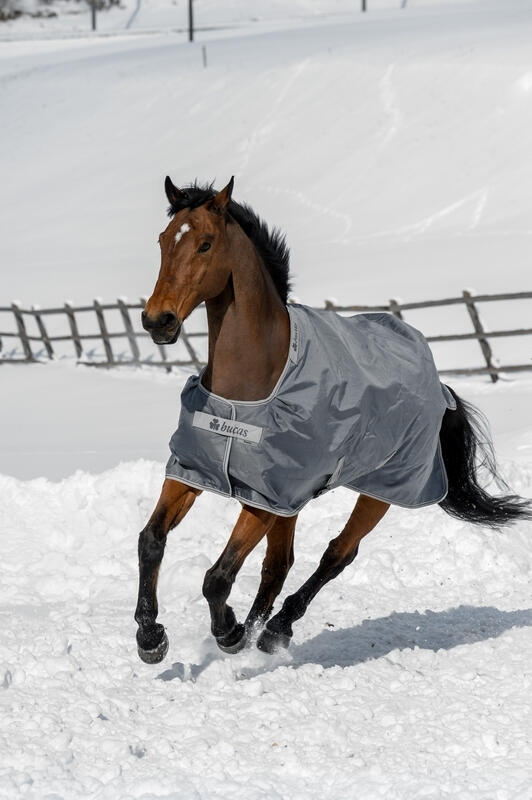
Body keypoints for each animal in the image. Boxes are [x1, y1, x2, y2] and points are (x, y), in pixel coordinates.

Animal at [134, 176, 531, 665]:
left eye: (205, 244)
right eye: (162, 241)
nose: (158, 320)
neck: (249, 388)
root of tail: (439, 385)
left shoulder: (264, 496)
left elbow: (218, 576)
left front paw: (227, 633)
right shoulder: (198, 473)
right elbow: (151, 539)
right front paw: (151, 637)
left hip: (381, 490)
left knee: (337, 554)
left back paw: (273, 631)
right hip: (295, 500)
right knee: (278, 565)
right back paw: (257, 630)